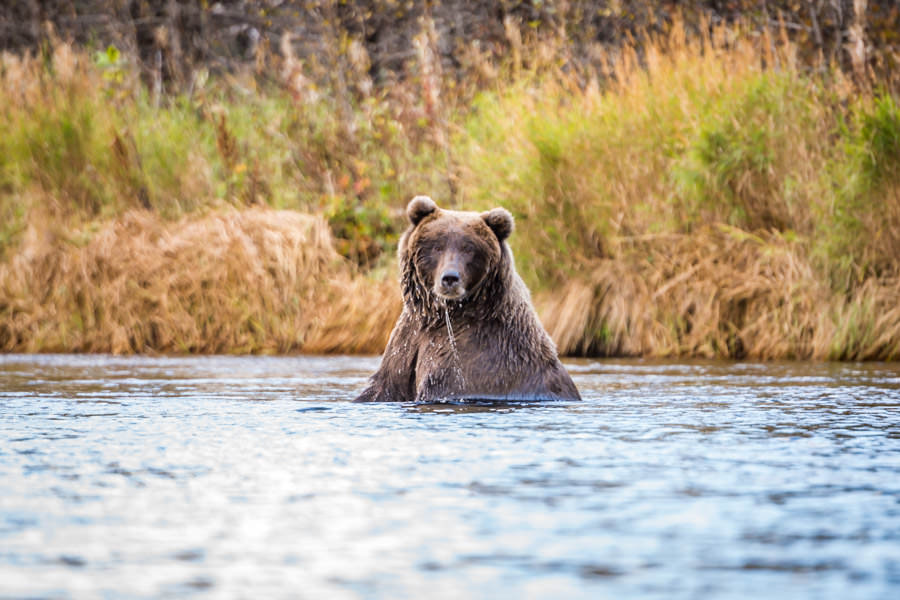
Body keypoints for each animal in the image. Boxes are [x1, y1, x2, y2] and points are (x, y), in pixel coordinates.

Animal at [356, 197, 580, 404]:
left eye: (469, 248)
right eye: (437, 246)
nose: (450, 278)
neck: (441, 315)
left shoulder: (473, 359)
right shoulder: (406, 341)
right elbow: (382, 387)